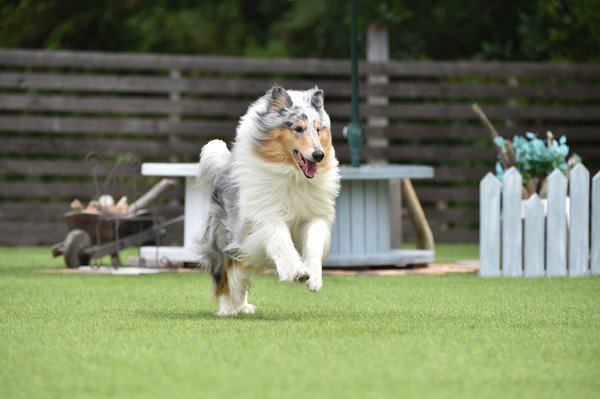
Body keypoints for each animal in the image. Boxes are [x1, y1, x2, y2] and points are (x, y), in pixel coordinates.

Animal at [196, 84, 338, 316]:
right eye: (298, 129)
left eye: (318, 129)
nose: (319, 155)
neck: (293, 175)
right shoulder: (268, 215)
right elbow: (283, 242)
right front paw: (298, 272)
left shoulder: (314, 216)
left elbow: (313, 244)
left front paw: (314, 278)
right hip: (226, 238)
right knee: (226, 275)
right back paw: (227, 309)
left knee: (241, 275)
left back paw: (243, 306)